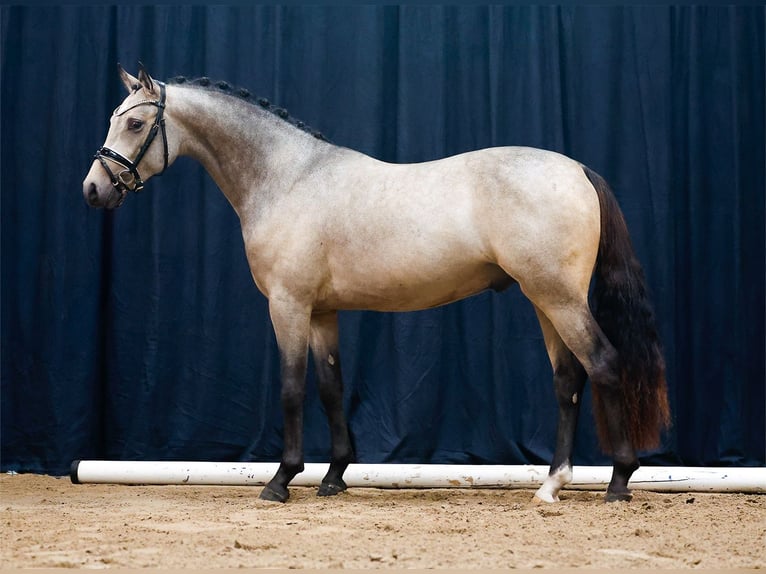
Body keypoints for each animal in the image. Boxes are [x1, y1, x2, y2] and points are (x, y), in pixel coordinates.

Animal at [85, 65, 672, 506]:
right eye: (113, 119)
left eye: (135, 123)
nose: (93, 189)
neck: (290, 178)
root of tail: (577, 170)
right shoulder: (322, 312)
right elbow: (330, 387)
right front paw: (333, 477)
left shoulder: (288, 306)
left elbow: (293, 388)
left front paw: (281, 480)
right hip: (545, 301)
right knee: (568, 380)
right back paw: (552, 484)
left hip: (558, 298)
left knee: (604, 364)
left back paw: (619, 482)